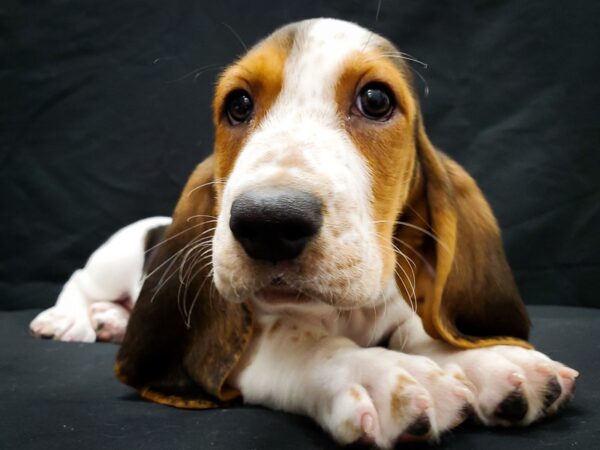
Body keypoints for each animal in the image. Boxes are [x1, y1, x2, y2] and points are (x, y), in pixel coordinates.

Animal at [31, 18, 576, 450]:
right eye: (238, 104)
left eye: (375, 99)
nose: (268, 223)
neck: (342, 313)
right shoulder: (250, 346)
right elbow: (303, 343)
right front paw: (381, 375)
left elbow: (420, 328)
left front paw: (491, 361)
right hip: (113, 259)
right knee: (79, 279)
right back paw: (68, 320)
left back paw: (110, 322)